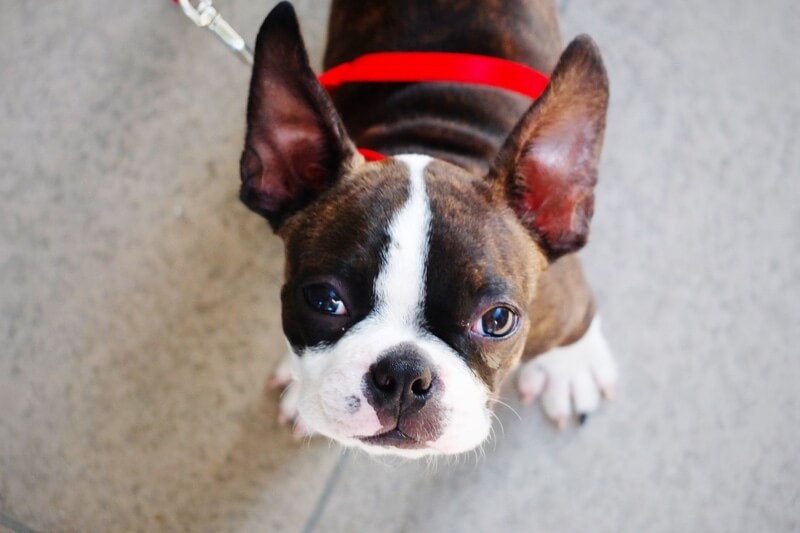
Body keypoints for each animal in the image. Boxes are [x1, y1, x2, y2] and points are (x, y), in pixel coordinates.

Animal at [241, 0, 616, 458]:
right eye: (325, 300)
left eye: (497, 321)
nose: (404, 374)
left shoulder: (563, 300)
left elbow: (578, 320)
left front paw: (571, 366)